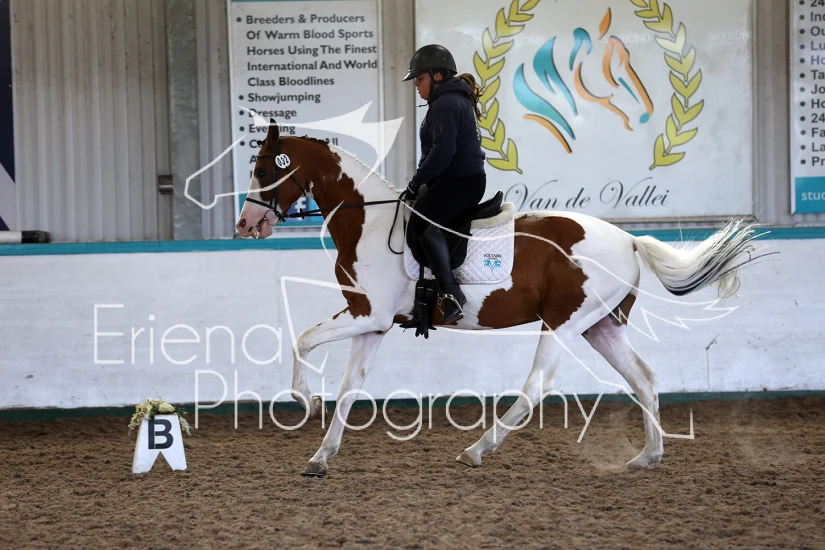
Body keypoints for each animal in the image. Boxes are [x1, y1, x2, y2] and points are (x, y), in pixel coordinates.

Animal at [235, 121, 761, 477]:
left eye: (262, 169)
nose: (245, 225)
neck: (367, 221)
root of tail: (630, 241)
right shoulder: (374, 323)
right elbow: (348, 387)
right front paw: (321, 455)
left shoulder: (368, 314)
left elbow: (302, 340)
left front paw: (307, 402)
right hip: (599, 325)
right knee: (644, 379)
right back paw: (648, 456)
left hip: (563, 324)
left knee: (535, 388)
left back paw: (477, 449)